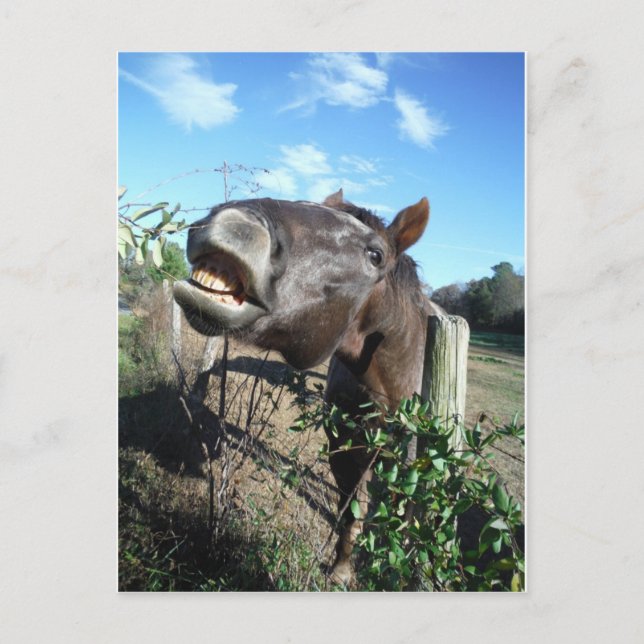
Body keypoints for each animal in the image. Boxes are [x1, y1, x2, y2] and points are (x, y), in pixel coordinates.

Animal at [173, 189, 442, 585]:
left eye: (375, 255)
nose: (236, 225)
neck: (390, 388)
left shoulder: (409, 469)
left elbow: (399, 521)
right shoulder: (343, 452)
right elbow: (350, 511)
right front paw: (343, 568)